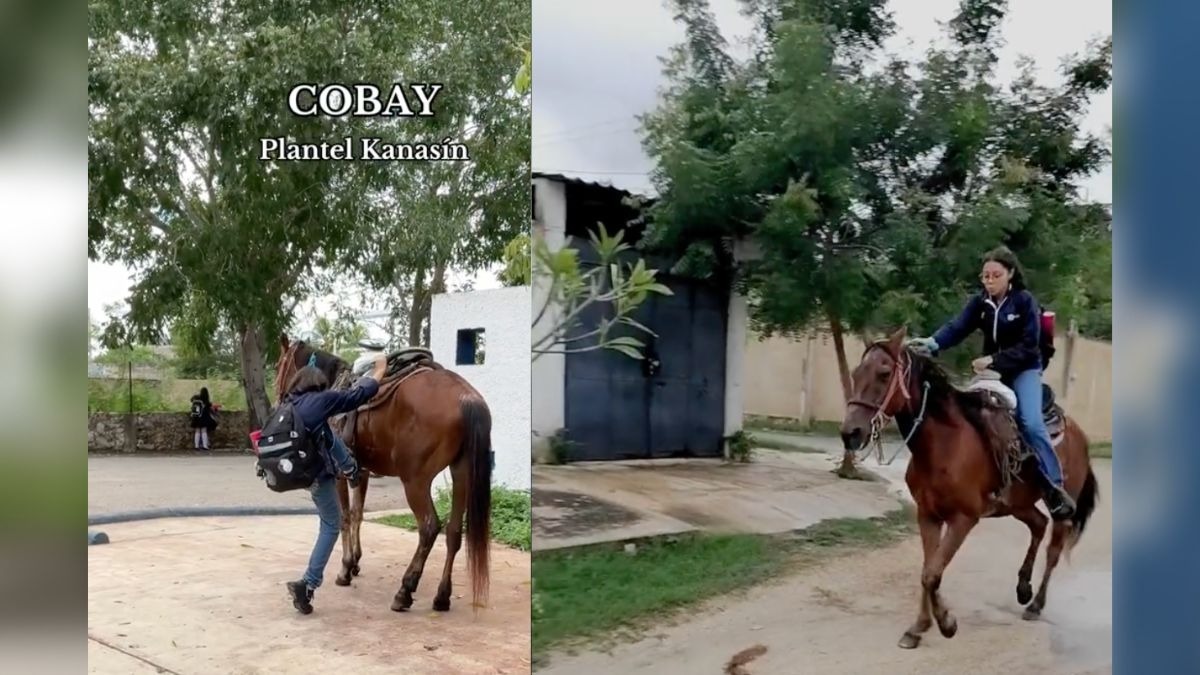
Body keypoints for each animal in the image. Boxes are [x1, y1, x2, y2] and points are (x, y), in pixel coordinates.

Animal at [273, 333, 492, 612]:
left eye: (279, 364)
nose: (279, 398)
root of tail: (466, 398)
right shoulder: (362, 471)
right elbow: (358, 514)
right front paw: (355, 562)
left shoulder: (339, 475)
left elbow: (345, 517)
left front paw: (345, 570)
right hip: (461, 472)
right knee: (453, 532)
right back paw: (442, 597)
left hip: (415, 481)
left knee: (429, 527)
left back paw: (405, 591)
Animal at [844, 326, 1099, 648]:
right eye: (856, 373)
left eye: (884, 373)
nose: (850, 433)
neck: (944, 444)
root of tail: (1080, 434)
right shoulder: (927, 515)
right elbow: (929, 568)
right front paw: (920, 626)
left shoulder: (964, 518)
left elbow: (933, 573)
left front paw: (946, 623)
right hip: (1017, 503)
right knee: (1038, 525)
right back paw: (1023, 587)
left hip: (1060, 508)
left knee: (1053, 549)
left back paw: (1035, 605)